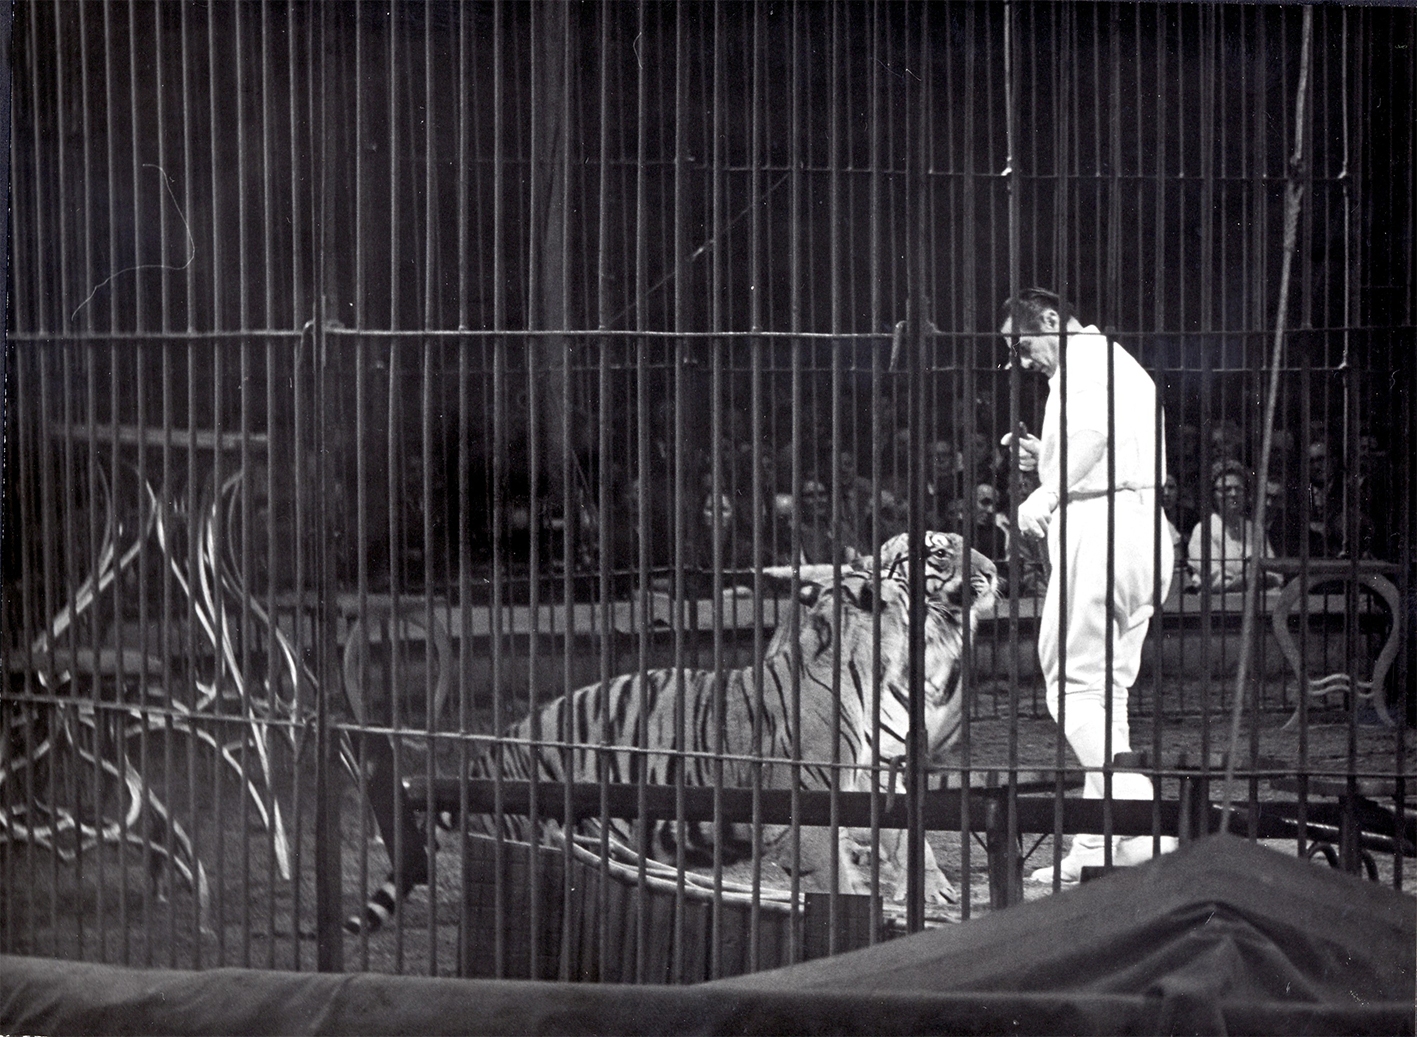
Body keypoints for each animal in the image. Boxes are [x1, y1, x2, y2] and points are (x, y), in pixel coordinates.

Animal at [347, 530, 997, 934]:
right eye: (938, 556)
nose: (994, 572)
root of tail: (486, 759)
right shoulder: (807, 814)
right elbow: (837, 884)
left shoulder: (871, 778)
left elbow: (899, 836)